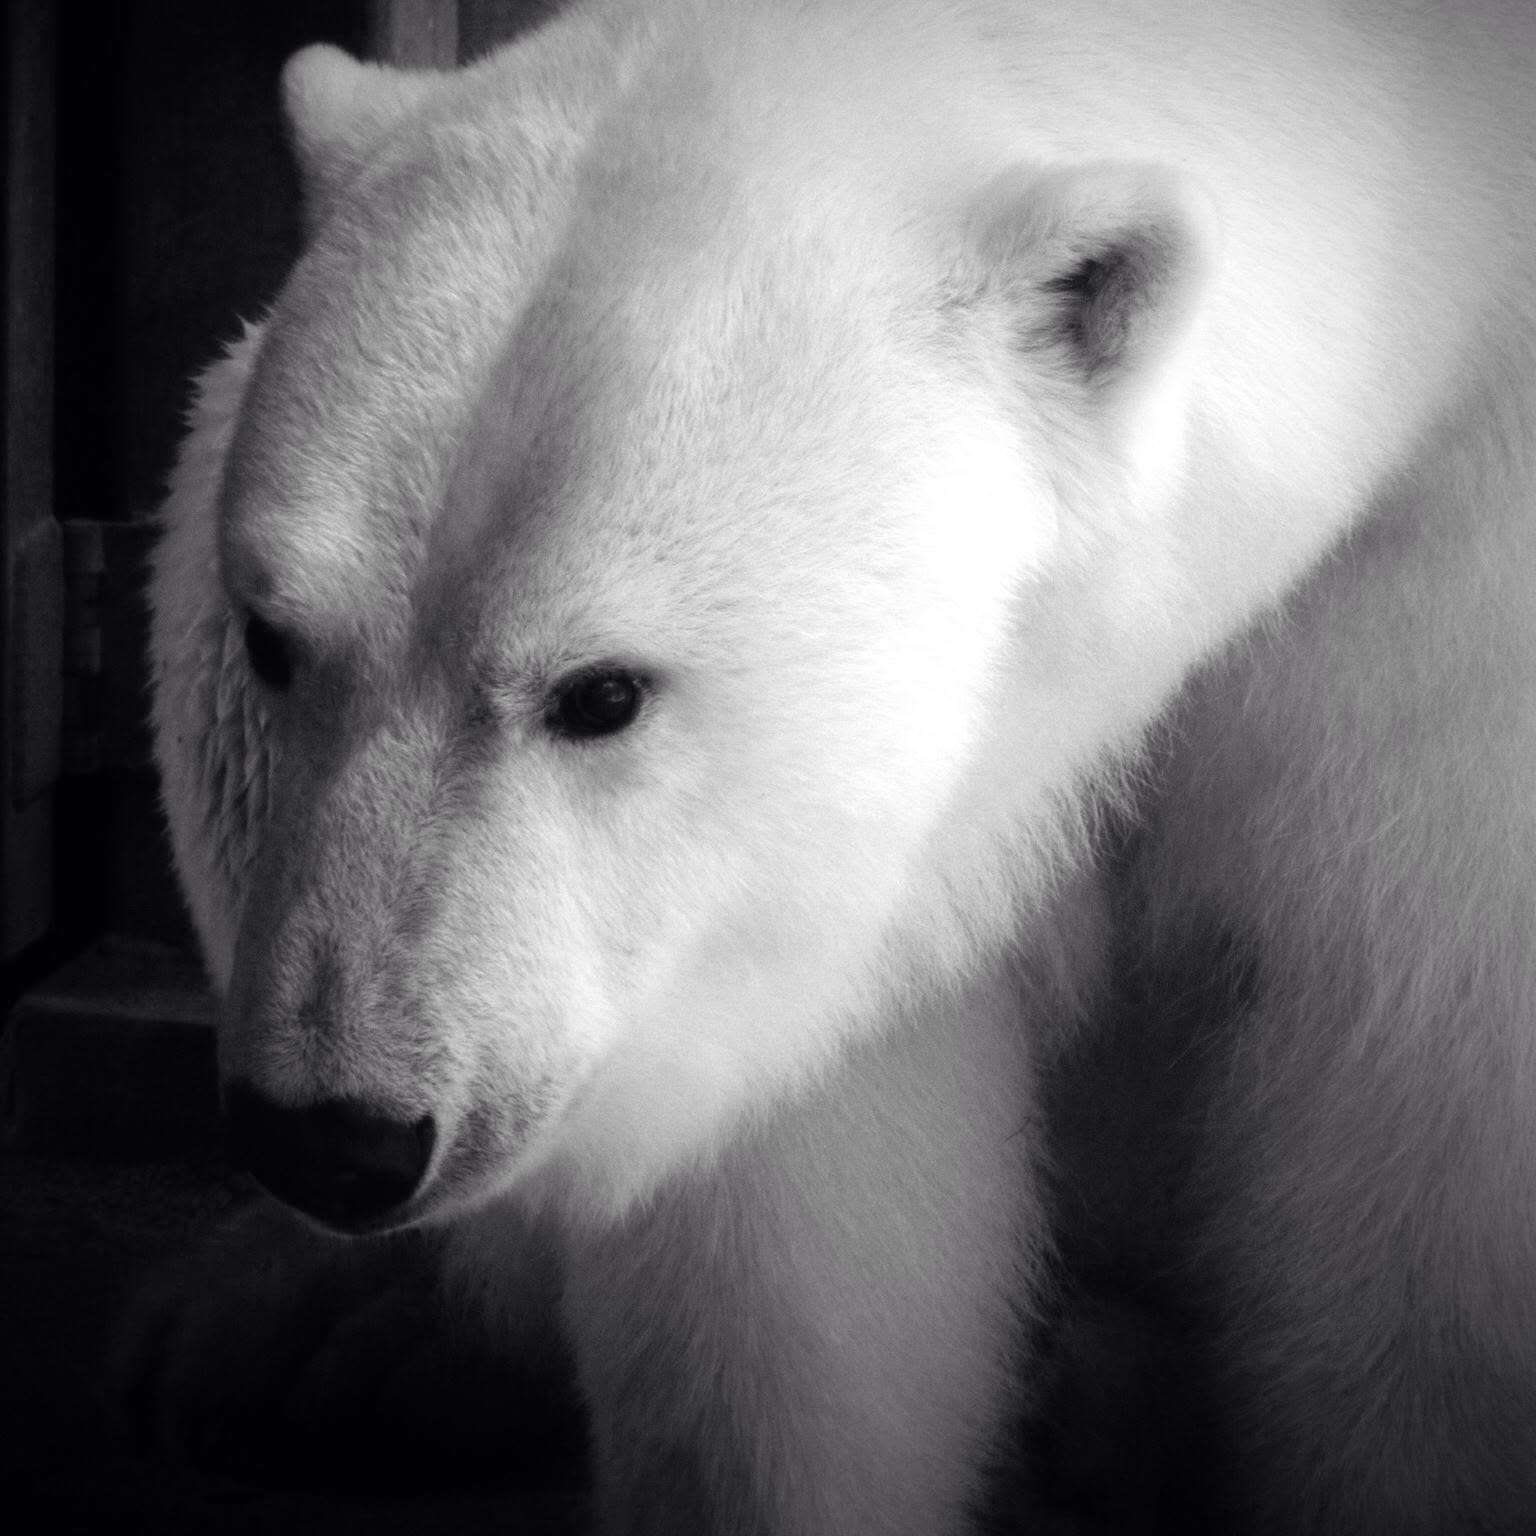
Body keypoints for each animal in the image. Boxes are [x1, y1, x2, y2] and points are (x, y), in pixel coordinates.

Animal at [138, 0, 1536, 1531]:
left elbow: (1417, 1106)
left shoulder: (1442, 601)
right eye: (275, 640)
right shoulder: (783, 932)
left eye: (602, 692)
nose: (333, 1134)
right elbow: (796, 1265)